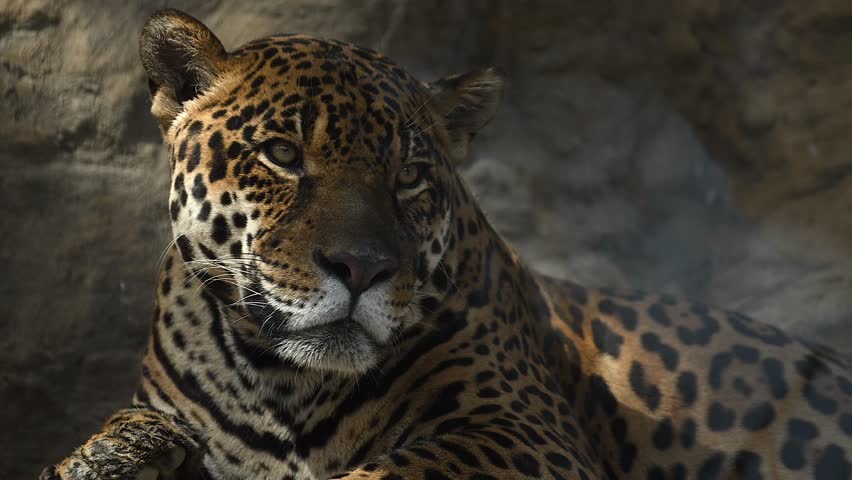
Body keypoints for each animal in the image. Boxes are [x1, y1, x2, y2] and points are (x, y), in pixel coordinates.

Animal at [40, 8, 852, 480]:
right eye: (282, 154)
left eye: (409, 177)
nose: (361, 267)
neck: (284, 385)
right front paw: (116, 455)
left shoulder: (521, 427)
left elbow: (396, 472)